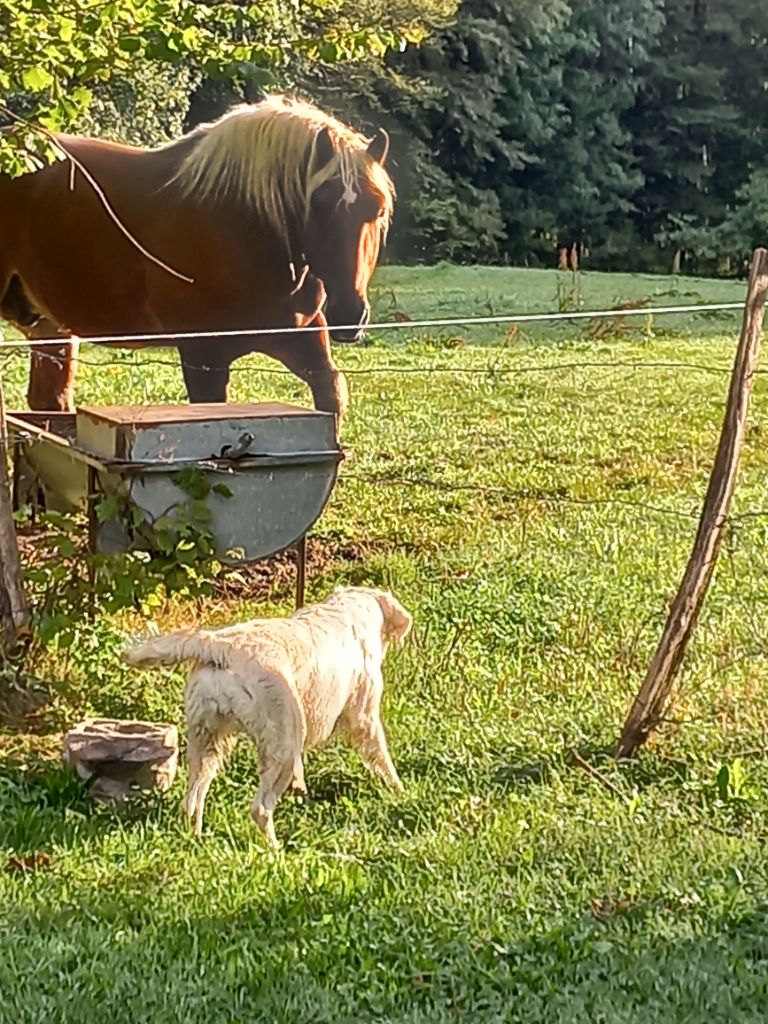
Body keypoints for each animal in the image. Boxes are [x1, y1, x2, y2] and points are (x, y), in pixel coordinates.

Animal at [0, 92, 397, 417]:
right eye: (319, 206)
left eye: (377, 211)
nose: (349, 314)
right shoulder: (203, 357)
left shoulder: (302, 338)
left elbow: (331, 393)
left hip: (50, 327)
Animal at [123, 589, 411, 843]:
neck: (349, 609)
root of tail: (220, 645)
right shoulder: (364, 717)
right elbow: (383, 759)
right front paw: (401, 791)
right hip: (283, 745)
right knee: (260, 809)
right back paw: (276, 851)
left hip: (207, 742)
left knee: (192, 800)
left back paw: (197, 838)